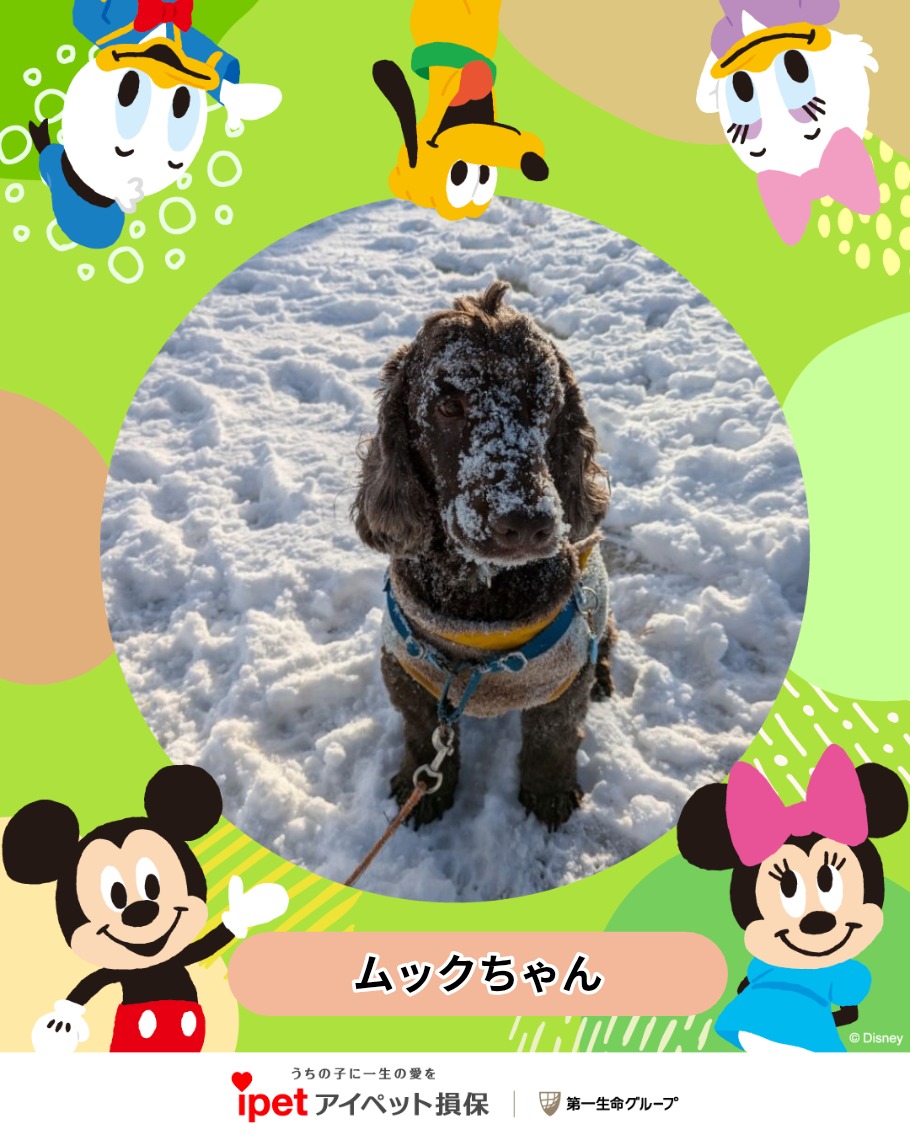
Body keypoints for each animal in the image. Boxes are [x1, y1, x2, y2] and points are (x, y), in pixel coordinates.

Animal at [352, 281, 615, 830]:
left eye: (548, 405)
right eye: (449, 406)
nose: (528, 523)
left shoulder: (563, 679)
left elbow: (552, 739)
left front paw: (549, 794)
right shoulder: (409, 672)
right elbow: (421, 737)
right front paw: (422, 791)